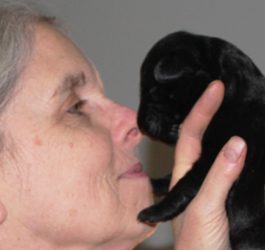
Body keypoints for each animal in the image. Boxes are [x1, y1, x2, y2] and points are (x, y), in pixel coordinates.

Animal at [137, 31, 264, 250]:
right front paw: (152, 182)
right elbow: (173, 177)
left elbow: (184, 184)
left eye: (151, 92)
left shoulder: (216, 152)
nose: (140, 125)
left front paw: (155, 211)